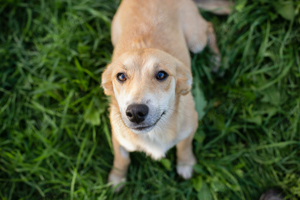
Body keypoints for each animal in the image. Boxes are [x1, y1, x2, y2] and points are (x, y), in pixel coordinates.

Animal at [101, 0, 220, 191]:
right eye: (121, 76)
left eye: (162, 75)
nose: (136, 112)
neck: (154, 133)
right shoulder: (119, 138)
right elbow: (121, 159)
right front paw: (117, 178)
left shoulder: (190, 127)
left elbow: (184, 147)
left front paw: (186, 164)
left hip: (196, 41)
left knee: (209, 27)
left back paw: (216, 61)